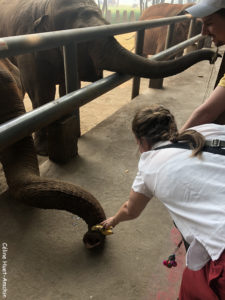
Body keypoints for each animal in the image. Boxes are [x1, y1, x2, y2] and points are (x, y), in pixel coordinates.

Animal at [0, 0, 218, 155]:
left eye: (107, 26)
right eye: (83, 38)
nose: (215, 55)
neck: (44, 6)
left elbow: (66, 90)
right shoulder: (29, 49)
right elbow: (41, 93)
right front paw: (44, 151)